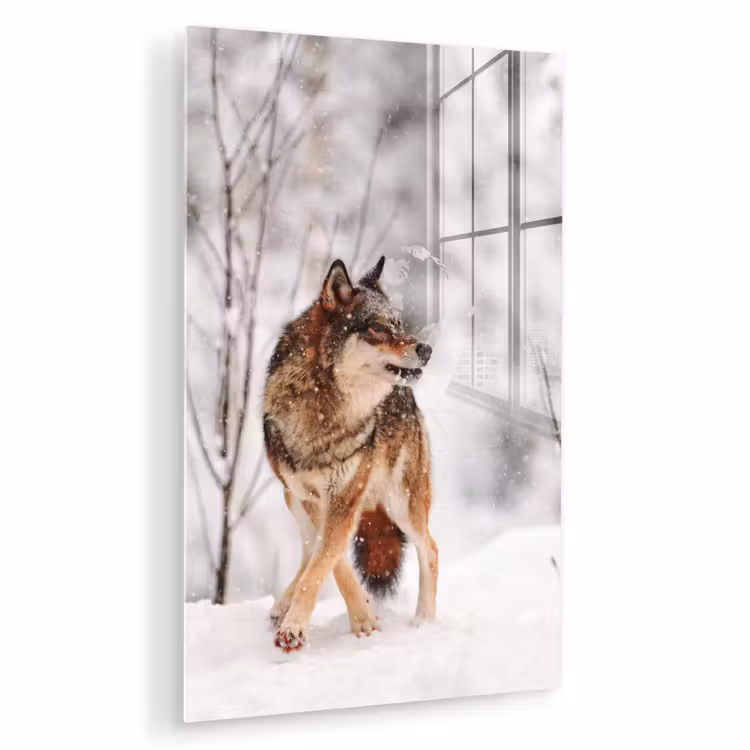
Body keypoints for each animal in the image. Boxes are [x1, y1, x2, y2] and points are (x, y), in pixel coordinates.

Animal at [263, 256, 438, 652]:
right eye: (376, 327)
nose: (426, 349)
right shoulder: (313, 498)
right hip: (291, 498)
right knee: (309, 548)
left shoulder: (344, 497)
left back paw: (423, 621)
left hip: (402, 503)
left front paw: (298, 628)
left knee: (431, 549)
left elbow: (325, 561)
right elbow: (331, 561)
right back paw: (282, 604)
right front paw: (362, 618)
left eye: (398, 324)